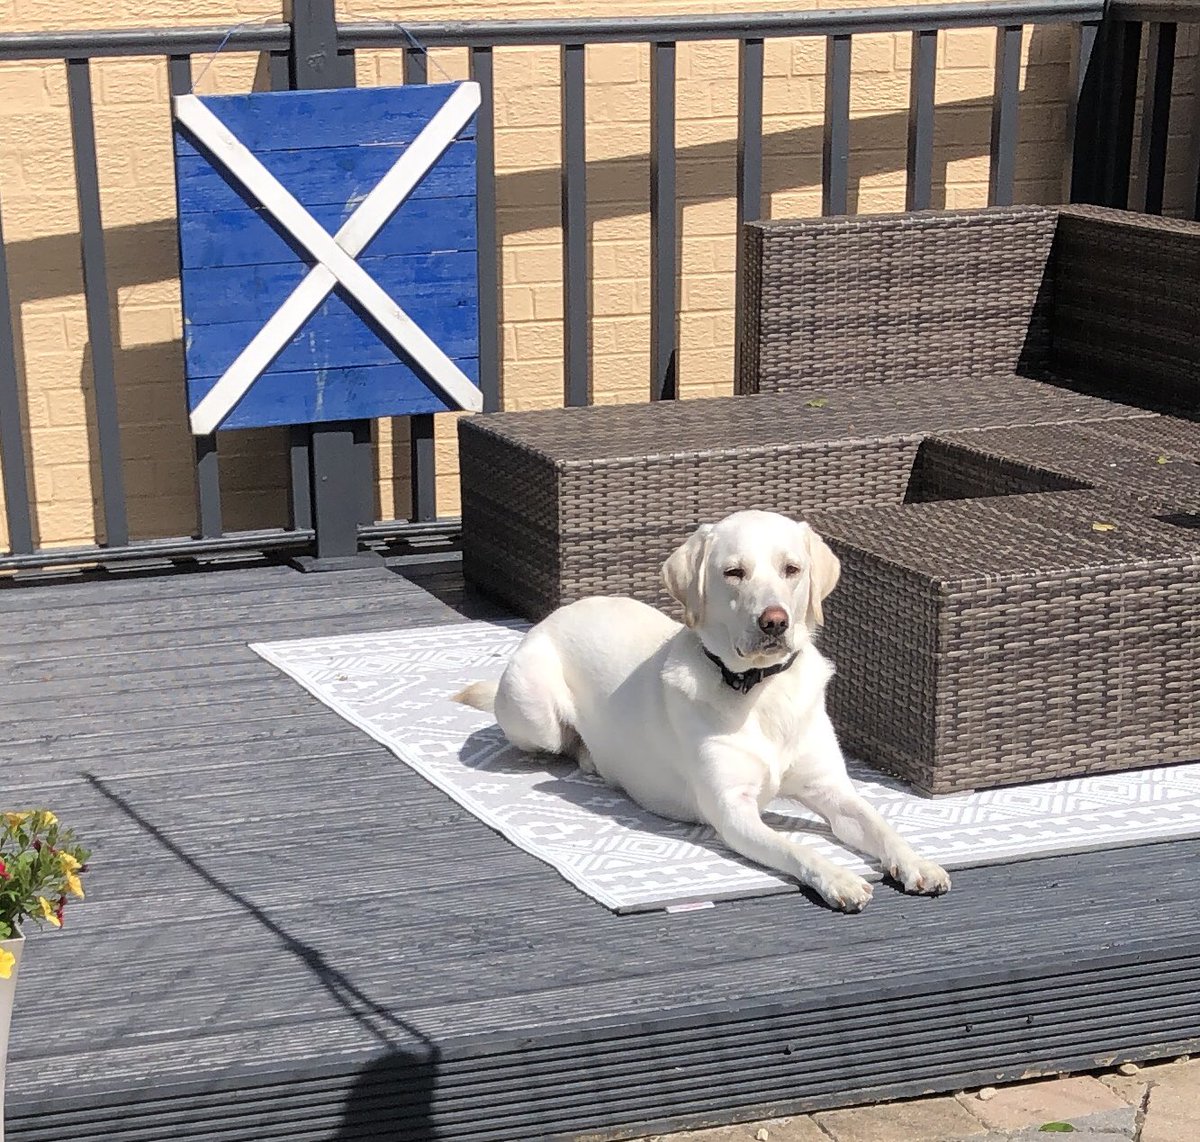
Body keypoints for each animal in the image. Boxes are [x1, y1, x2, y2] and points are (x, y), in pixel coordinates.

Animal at [453, 508, 950, 911]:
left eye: (792, 569)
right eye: (734, 572)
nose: (775, 621)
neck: (761, 691)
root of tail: (554, 615)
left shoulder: (833, 791)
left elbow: (881, 825)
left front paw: (919, 862)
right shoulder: (733, 811)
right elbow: (796, 847)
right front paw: (837, 877)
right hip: (535, 710)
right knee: (558, 739)